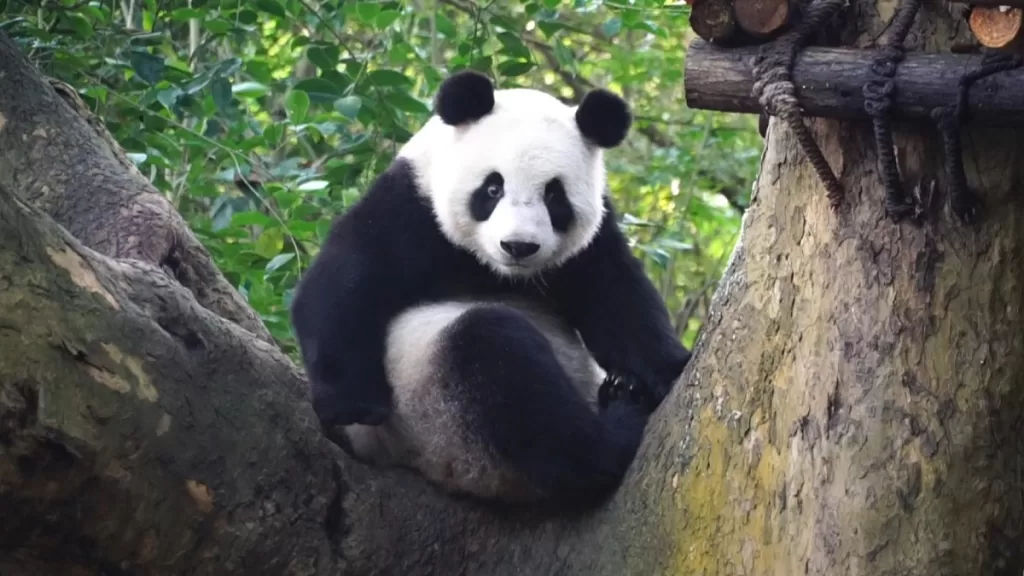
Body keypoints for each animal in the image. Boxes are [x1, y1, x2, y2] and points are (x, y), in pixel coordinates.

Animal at [290, 70, 691, 511]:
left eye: (554, 195)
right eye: (493, 188)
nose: (519, 246)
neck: (500, 272)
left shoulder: (588, 247)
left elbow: (619, 306)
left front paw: (669, 368)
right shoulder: (409, 207)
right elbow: (344, 281)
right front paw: (351, 403)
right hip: (434, 416)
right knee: (499, 361)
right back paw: (619, 419)